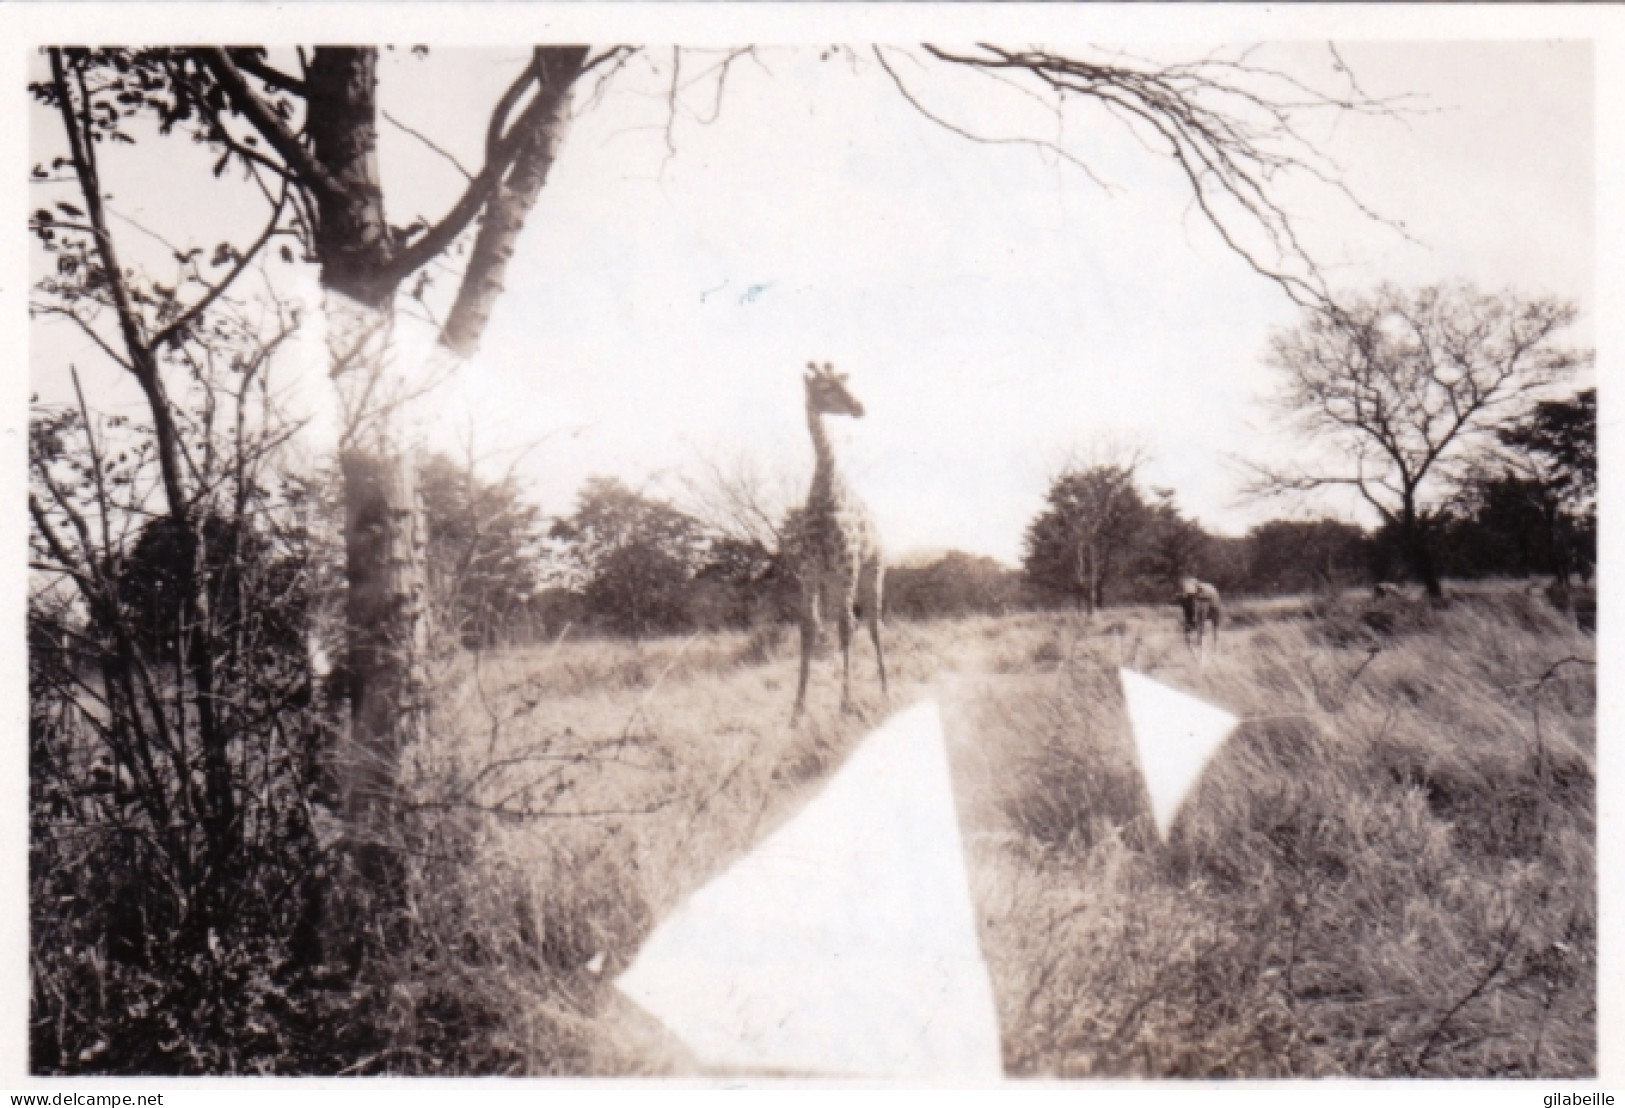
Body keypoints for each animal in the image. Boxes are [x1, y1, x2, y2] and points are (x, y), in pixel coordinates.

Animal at [786, 357, 890, 711]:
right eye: (826, 388)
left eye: (844, 383)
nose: (859, 407)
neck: (825, 494)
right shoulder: (809, 570)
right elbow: (809, 626)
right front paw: (798, 709)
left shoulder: (847, 566)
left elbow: (846, 626)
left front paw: (846, 704)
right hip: (833, 580)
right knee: (848, 621)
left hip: (872, 571)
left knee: (871, 623)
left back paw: (886, 689)